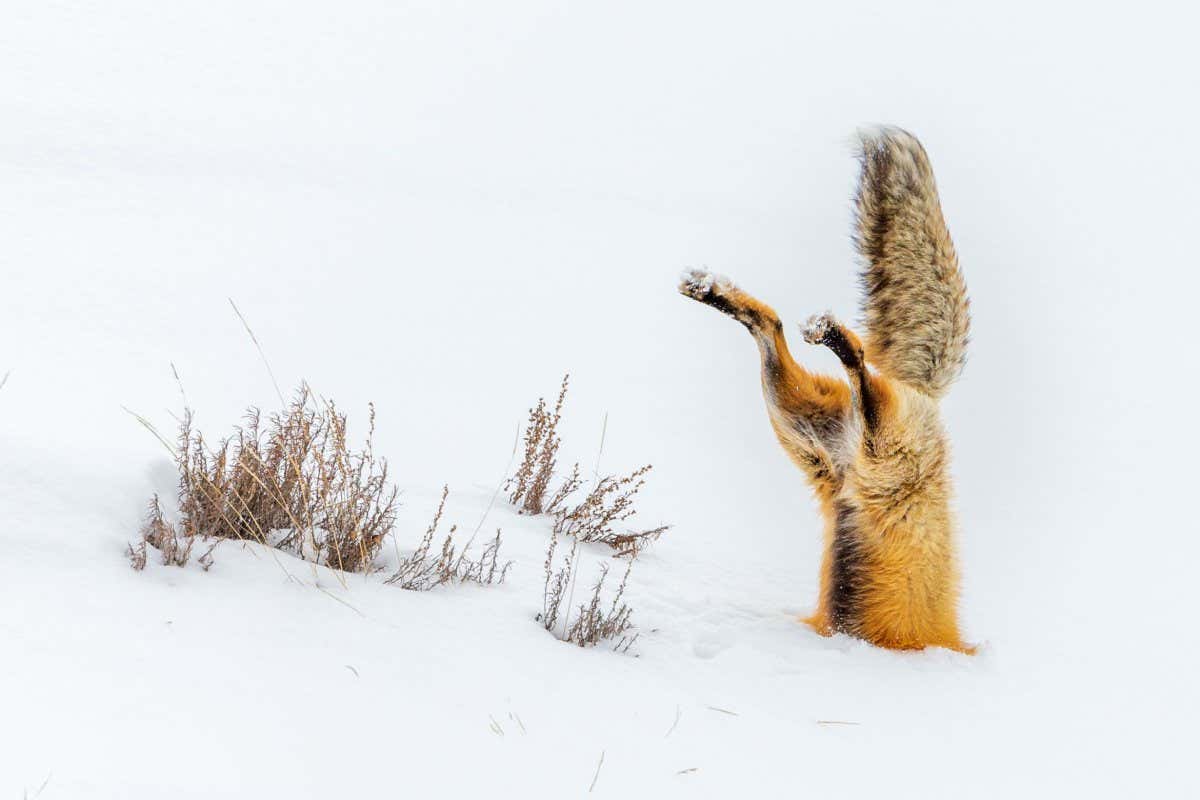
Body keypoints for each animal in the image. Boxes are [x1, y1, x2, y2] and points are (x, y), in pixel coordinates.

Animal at [679, 127, 972, 653]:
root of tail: (925, 392)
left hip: (805, 429)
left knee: (772, 324)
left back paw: (719, 293)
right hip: (876, 449)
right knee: (855, 371)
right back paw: (832, 336)